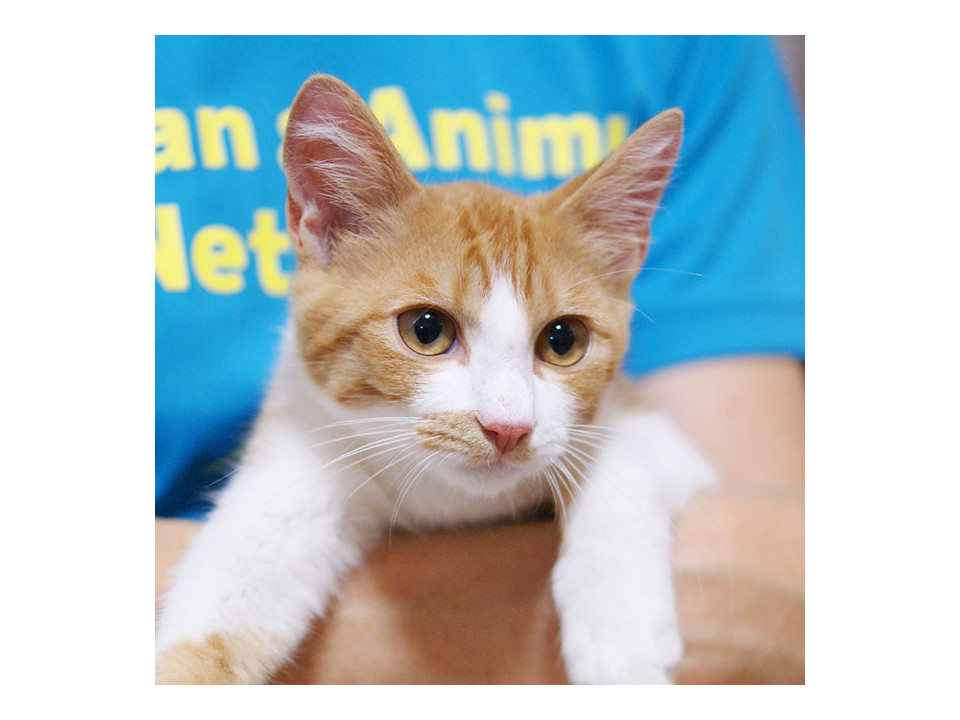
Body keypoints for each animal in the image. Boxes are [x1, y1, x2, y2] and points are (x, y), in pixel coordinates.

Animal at [154, 74, 713, 684]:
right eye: (426, 330)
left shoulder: (657, 435)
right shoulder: (303, 438)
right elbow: (244, 566)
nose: (508, 428)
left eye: (564, 341)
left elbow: (625, 460)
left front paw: (620, 633)